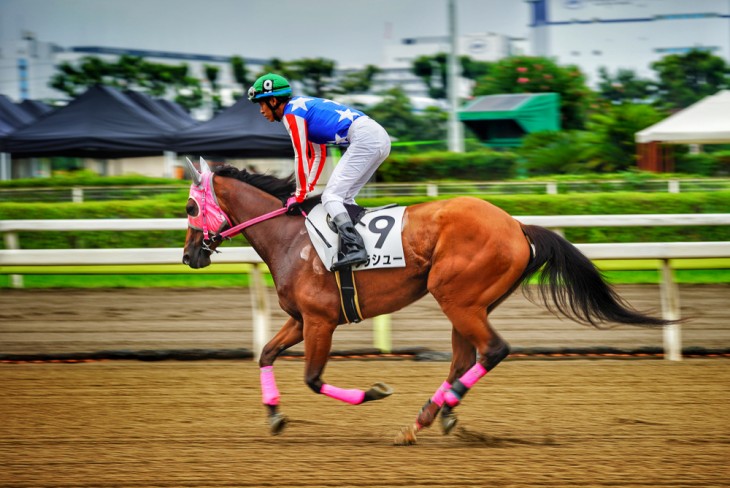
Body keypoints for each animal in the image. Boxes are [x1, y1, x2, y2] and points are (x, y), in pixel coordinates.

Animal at [182, 159, 672, 446]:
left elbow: (313, 378)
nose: (189, 256)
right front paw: (274, 416)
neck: (292, 240)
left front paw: (374, 391)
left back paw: (435, 413)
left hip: (457, 297)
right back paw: (430, 417)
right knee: (465, 358)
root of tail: (516, 225)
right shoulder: (301, 320)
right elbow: (266, 353)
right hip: (470, 303)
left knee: (492, 350)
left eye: (189, 208)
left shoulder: (321, 321)